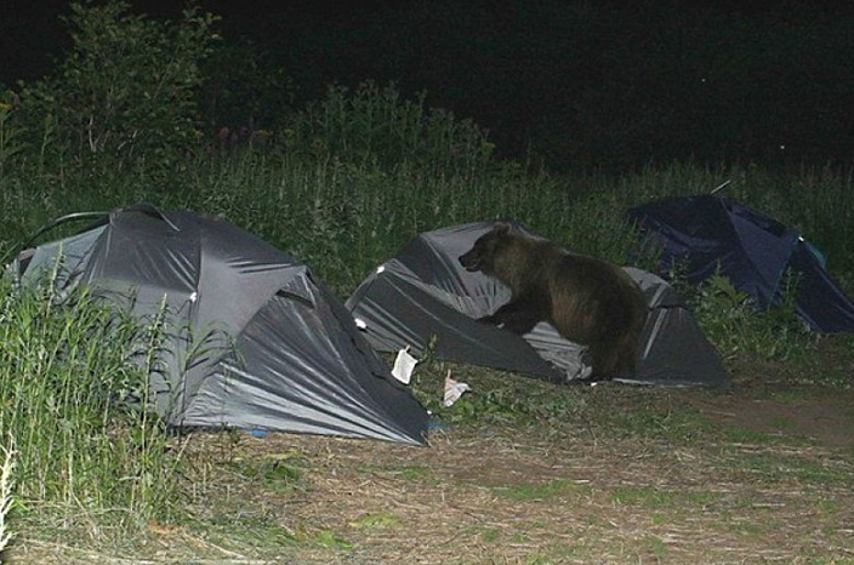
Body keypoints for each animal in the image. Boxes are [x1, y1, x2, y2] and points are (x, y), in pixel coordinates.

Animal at [462, 223, 648, 376]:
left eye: (477, 245)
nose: (461, 258)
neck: (516, 266)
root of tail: (639, 298)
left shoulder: (538, 282)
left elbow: (523, 306)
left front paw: (489, 318)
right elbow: (528, 316)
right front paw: (510, 327)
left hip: (607, 312)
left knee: (605, 346)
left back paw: (595, 375)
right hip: (626, 326)